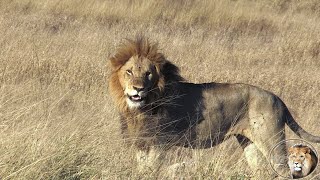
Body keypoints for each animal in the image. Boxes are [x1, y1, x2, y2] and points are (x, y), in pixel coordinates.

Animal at [108, 36, 320, 176]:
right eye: (129, 72)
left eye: (148, 74)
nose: (138, 89)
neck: (138, 110)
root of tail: (277, 98)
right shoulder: (141, 143)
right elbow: (141, 169)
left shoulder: (158, 144)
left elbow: (152, 170)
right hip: (249, 142)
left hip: (271, 139)